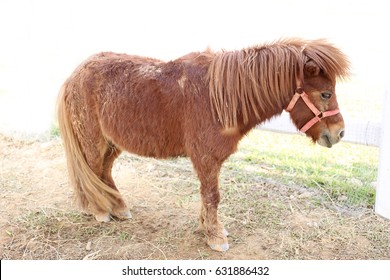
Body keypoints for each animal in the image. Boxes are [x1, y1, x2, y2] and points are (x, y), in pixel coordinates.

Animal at [56, 37, 348, 252]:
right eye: (326, 93)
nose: (339, 133)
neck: (219, 97)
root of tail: (75, 74)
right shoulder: (206, 158)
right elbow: (212, 196)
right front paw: (215, 237)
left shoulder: (209, 161)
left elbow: (206, 196)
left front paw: (207, 228)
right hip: (93, 141)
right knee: (92, 172)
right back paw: (100, 211)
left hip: (113, 144)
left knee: (104, 173)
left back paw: (118, 208)